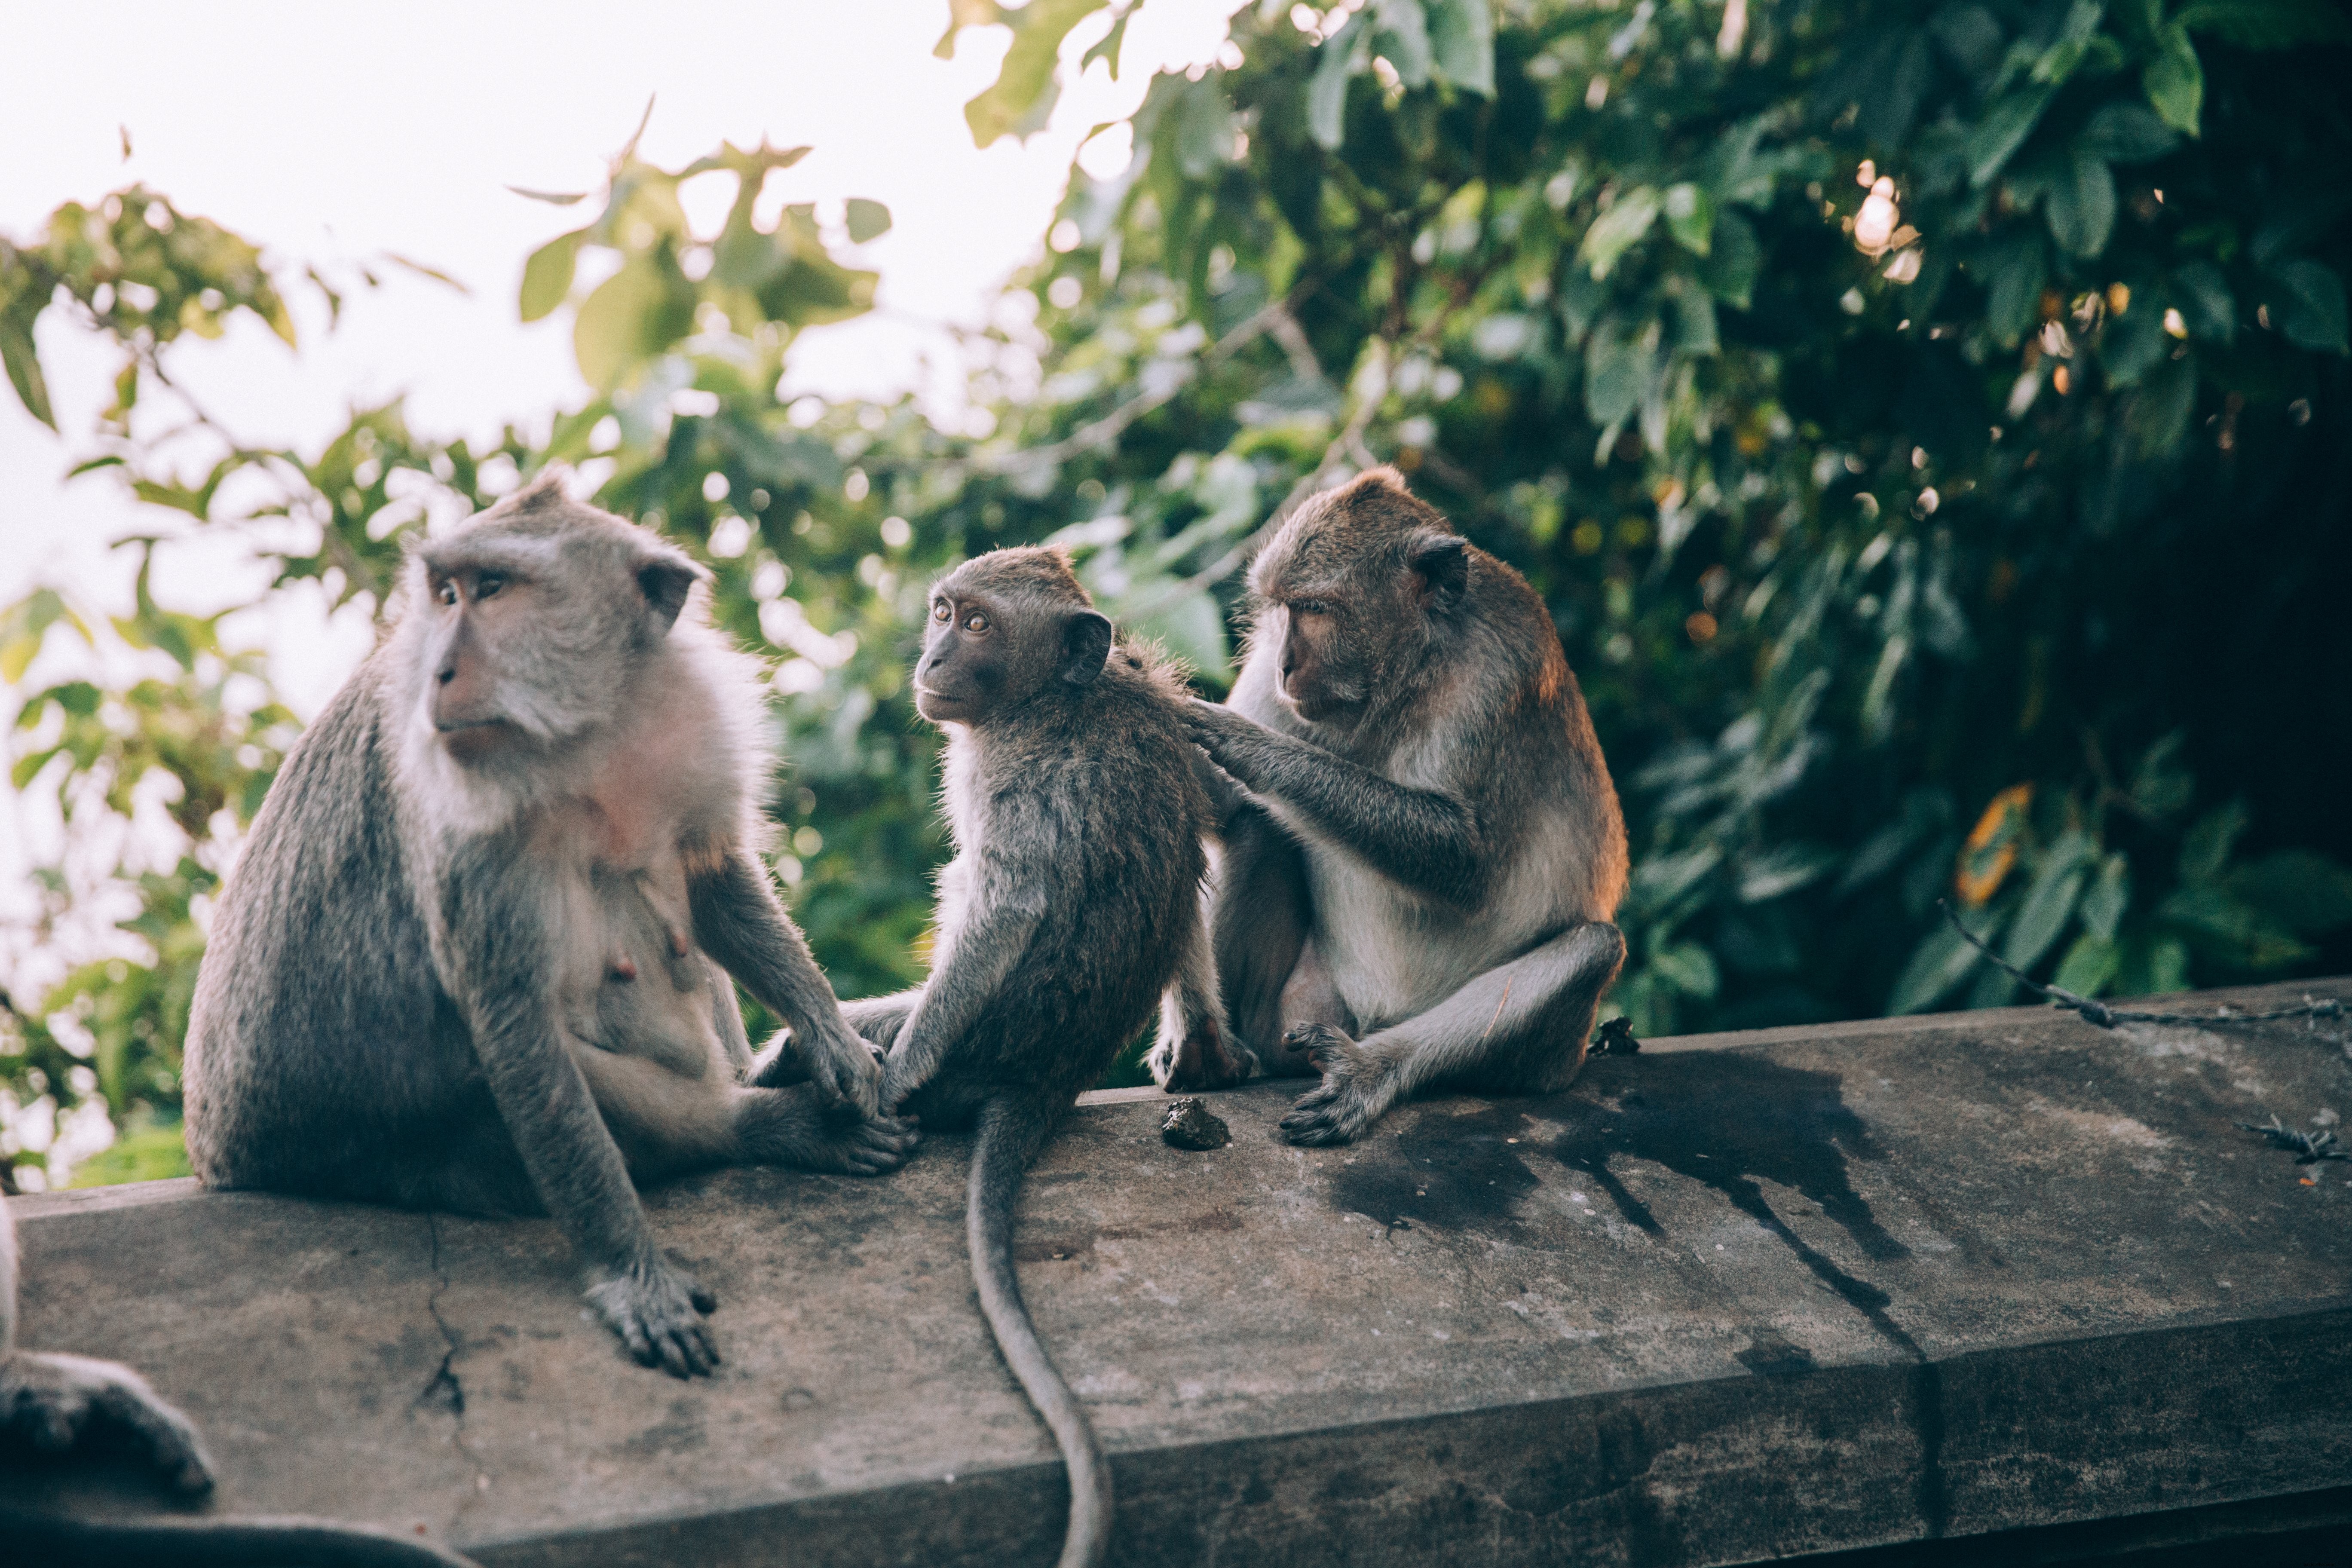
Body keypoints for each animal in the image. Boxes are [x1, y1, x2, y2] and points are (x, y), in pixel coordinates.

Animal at [183, 472, 913, 1382]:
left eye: (493, 588)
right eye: (448, 594)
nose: (442, 671)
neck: (584, 734)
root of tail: (221, 1157)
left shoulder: (692, 716)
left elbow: (710, 876)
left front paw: (832, 1040)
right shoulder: (463, 818)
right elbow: (517, 1027)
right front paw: (633, 1273)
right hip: (382, 1155)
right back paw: (758, 1125)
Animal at [842, 550, 1213, 1568]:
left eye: (977, 626)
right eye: (943, 611)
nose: (931, 657)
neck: (1051, 696)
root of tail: (1044, 1077)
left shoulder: (1010, 774)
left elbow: (1006, 905)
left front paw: (893, 1081)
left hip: (978, 1043)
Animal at [1176, 465, 1637, 1142]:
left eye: (1316, 609)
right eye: (1283, 610)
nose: (1286, 666)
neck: (1403, 676)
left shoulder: (1502, 676)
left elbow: (1465, 862)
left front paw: (1246, 744)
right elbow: (1214, 809)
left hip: (1549, 1060)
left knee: (1591, 950)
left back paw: (1369, 1071)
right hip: (1303, 1009)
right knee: (1256, 825)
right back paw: (1221, 1048)